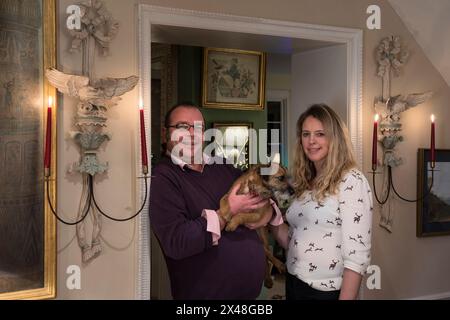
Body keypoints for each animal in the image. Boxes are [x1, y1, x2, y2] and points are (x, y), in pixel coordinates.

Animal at [219, 160, 296, 288]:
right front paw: (224, 213)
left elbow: (241, 215)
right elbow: (223, 200)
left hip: (263, 237)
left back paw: (276, 269)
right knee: (266, 255)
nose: (293, 192)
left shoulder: (257, 215)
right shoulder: (229, 194)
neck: (254, 187)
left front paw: (232, 223)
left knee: (268, 257)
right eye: (280, 178)